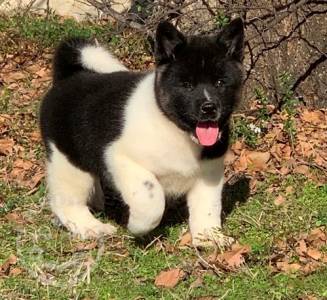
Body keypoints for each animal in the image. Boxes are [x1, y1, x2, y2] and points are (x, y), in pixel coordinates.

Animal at [39, 19, 245, 248]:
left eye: (220, 83)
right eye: (187, 85)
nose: (209, 108)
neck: (173, 128)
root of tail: (66, 78)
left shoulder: (209, 172)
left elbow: (208, 208)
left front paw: (209, 237)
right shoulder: (119, 159)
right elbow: (152, 198)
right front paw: (137, 226)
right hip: (69, 163)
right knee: (67, 202)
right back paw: (91, 227)